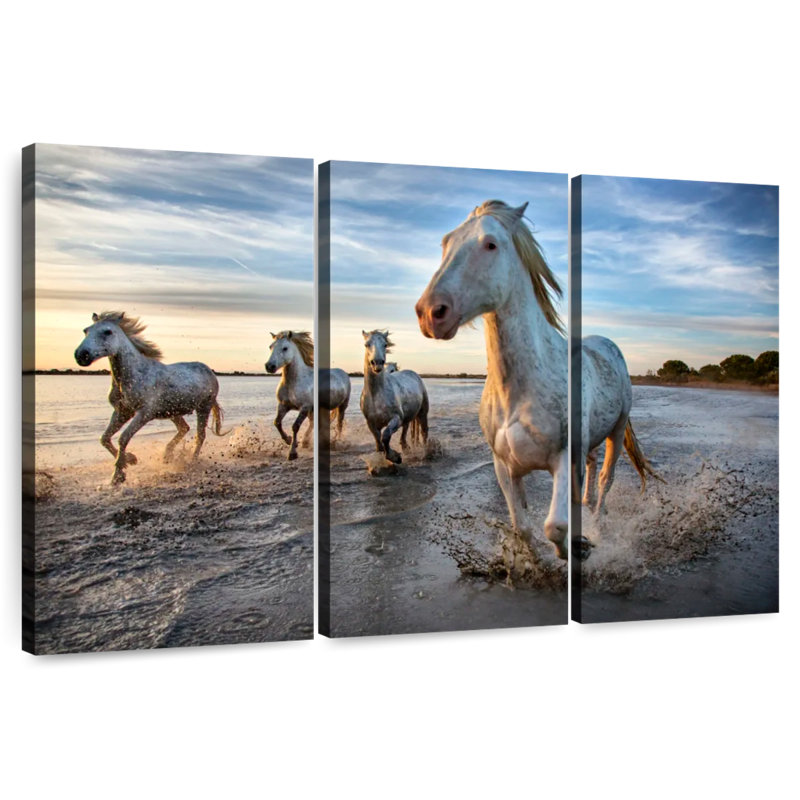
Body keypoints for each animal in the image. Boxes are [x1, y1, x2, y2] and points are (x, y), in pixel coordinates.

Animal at [74, 311, 227, 485]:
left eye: (107, 332)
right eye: (86, 330)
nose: (81, 355)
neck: (133, 375)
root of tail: (209, 370)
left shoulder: (144, 413)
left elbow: (123, 438)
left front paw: (118, 475)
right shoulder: (122, 412)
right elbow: (104, 438)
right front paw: (130, 460)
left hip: (203, 407)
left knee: (200, 436)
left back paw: (191, 461)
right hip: (172, 411)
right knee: (184, 428)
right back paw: (167, 456)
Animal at [360, 330, 428, 463]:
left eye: (385, 344)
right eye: (366, 344)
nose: (377, 363)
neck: (376, 395)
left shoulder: (396, 419)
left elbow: (385, 436)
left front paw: (395, 457)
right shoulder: (371, 423)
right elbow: (378, 441)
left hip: (422, 413)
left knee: (424, 432)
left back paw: (427, 452)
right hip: (408, 417)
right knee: (406, 430)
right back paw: (406, 447)